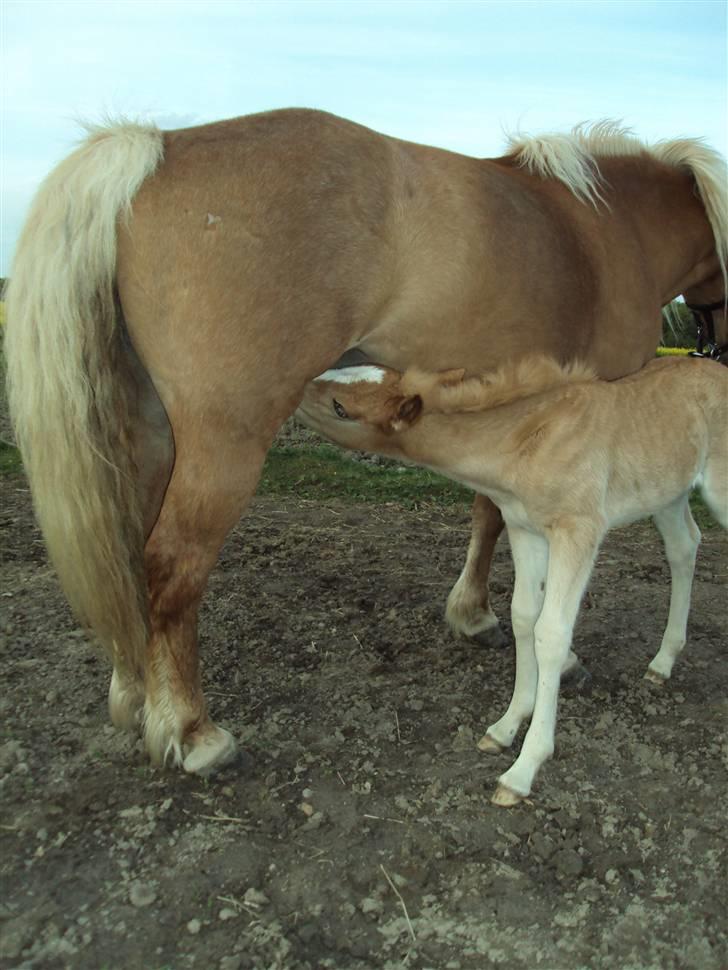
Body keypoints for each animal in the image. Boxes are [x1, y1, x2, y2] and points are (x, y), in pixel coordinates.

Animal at [298, 354, 728, 800]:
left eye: (341, 408)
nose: (293, 391)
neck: (527, 442)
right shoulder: (525, 530)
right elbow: (523, 617)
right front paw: (506, 727)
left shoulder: (577, 531)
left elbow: (551, 633)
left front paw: (524, 769)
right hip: (666, 494)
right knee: (683, 546)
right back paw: (663, 661)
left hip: (717, 491)